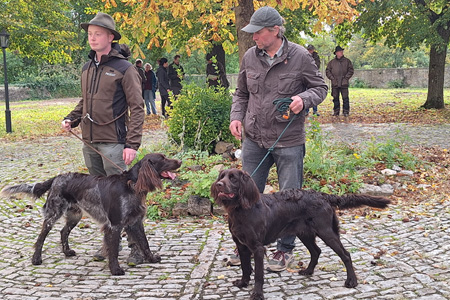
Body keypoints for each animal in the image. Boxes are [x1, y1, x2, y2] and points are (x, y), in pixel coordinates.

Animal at [2, 154, 181, 276]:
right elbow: (114, 250)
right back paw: (36, 259)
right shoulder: (115, 225)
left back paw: (67, 252)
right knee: (41, 237)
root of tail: (57, 178)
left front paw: (151, 259)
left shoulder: (135, 222)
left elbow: (144, 243)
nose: (180, 161)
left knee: (63, 232)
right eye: (163, 158)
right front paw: (115, 269)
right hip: (53, 213)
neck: (132, 186)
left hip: (75, 215)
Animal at [211, 169, 390, 300]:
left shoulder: (257, 248)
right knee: (316, 251)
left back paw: (352, 281)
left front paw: (257, 294)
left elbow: (258, 274)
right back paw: (308, 271)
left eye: (233, 179)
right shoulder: (241, 245)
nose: (218, 184)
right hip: (305, 233)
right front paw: (242, 283)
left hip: (326, 232)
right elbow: (245, 268)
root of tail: (323, 195)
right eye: (221, 177)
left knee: (345, 254)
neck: (241, 209)